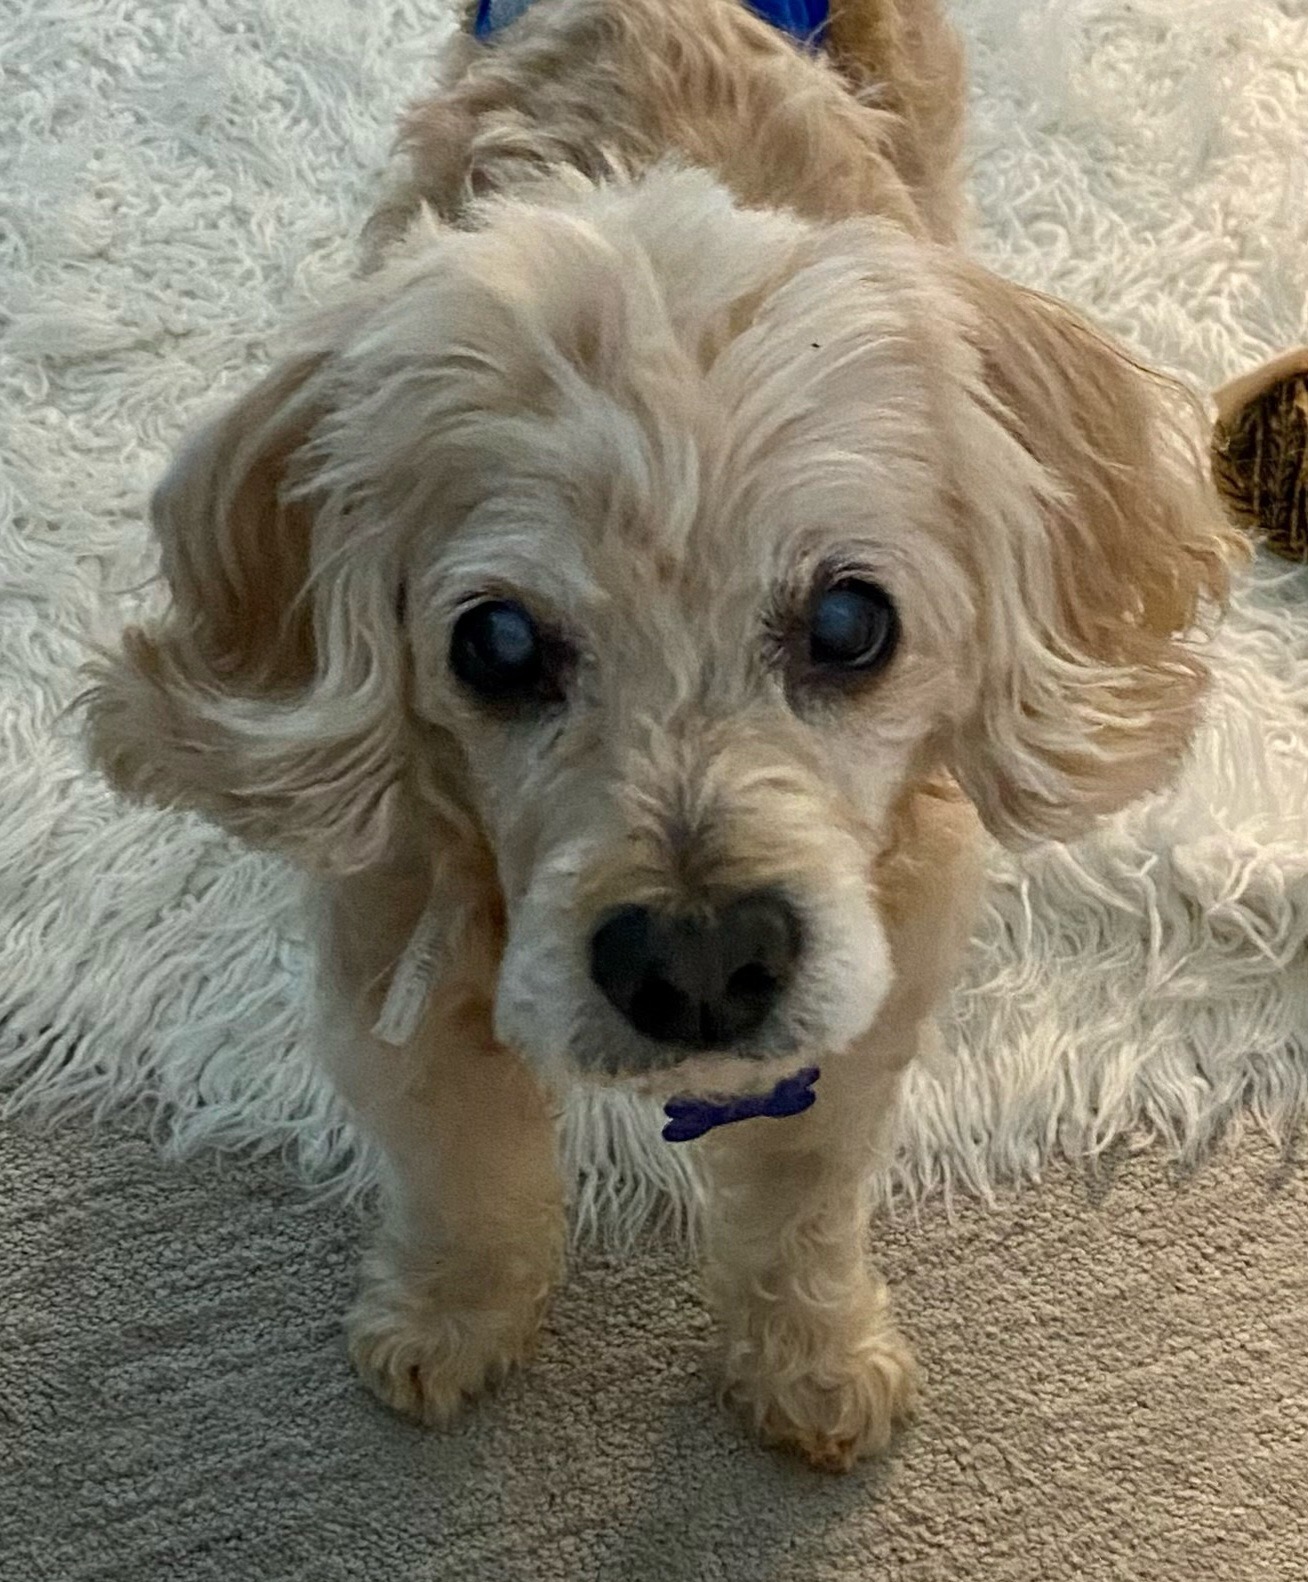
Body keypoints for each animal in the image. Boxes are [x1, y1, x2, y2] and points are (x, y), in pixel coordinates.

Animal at [86, 0, 1239, 1468]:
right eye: (497, 645)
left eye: (851, 620)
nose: (699, 963)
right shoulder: (396, 971)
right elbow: (465, 1179)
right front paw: (452, 1319)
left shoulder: (864, 1010)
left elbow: (802, 1212)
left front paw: (811, 1363)